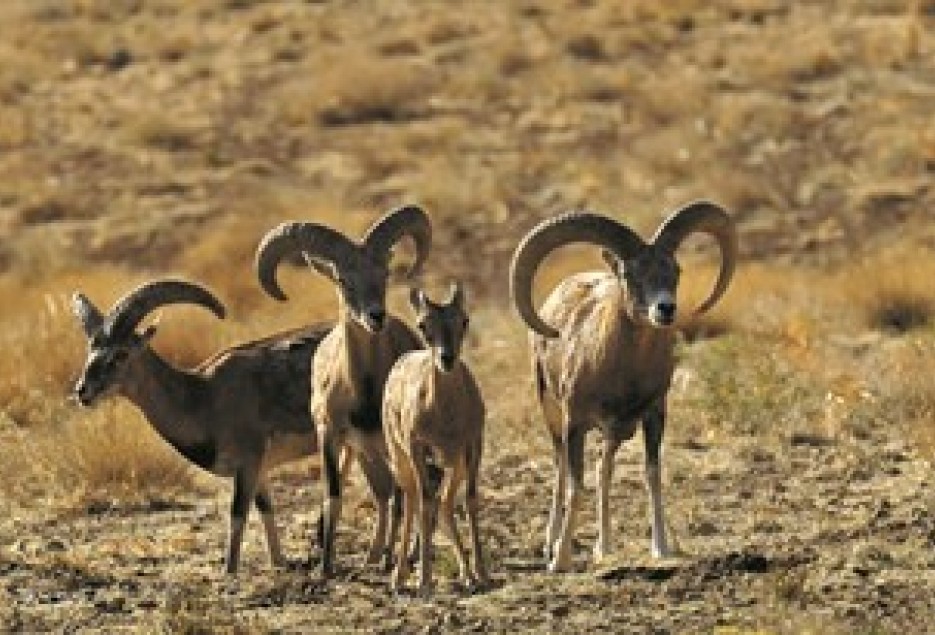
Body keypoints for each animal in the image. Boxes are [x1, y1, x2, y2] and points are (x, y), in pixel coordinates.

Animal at [74, 278, 336, 572]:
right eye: (91, 351)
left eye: (121, 354)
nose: (83, 391)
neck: (204, 397)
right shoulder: (259, 468)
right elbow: (265, 508)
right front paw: (279, 562)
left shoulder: (249, 460)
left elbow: (237, 514)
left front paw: (229, 571)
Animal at [256, 205, 432, 580]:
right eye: (342, 280)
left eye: (384, 273)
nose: (375, 316)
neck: (363, 390)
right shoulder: (331, 434)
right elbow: (334, 495)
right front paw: (325, 567)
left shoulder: (390, 438)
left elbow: (402, 495)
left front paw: (393, 562)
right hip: (362, 451)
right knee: (383, 493)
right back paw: (373, 557)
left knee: (402, 491)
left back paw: (397, 556)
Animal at [382, 284, 490, 596]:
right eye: (423, 324)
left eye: (464, 320)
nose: (447, 358)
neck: (447, 417)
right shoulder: (418, 448)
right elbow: (424, 504)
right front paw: (425, 581)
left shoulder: (472, 445)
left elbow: (470, 500)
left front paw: (482, 573)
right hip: (402, 459)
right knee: (411, 502)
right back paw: (399, 577)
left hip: (453, 466)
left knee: (444, 502)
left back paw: (467, 574)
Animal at [512, 201, 740, 572]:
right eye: (630, 275)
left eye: (675, 270)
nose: (665, 308)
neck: (621, 372)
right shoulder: (574, 422)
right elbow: (576, 486)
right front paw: (560, 560)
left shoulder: (653, 416)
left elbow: (651, 475)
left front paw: (662, 548)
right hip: (553, 414)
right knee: (561, 468)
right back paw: (551, 544)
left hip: (613, 433)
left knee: (604, 468)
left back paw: (604, 548)